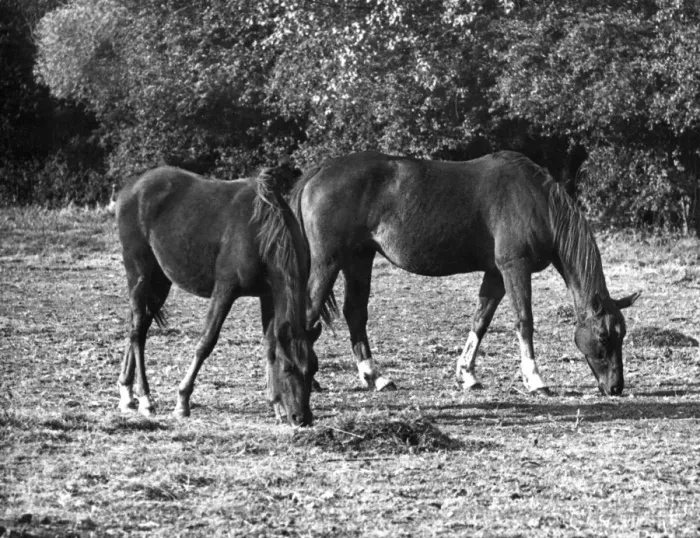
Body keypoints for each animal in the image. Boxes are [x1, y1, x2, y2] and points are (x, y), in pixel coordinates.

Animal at [115, 165, 321, 426]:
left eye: (313, 368)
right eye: (288, 368)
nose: (301, 417)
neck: (262, 232)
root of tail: (131, 187)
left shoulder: (268, 295)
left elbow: (270, 345)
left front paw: (276, 404)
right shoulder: (225, 290)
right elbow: (206, 342)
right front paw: (182, 400)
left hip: (160, 281)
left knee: (138, 325)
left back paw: (127, 392)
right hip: (139, 274)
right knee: (137, 332)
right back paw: (145, 398)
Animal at [290, 150, 640, 396]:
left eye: (621, 335)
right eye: (604, 337)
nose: (616, 388)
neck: (536, 201)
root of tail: (320, 171)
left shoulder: (496, 274)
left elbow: (481, 320)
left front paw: (467, 374)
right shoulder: (515, 268)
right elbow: (524, 322)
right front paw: (535, 380)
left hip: (359, 259)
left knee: (355, 313)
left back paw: (375, 377)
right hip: (328, 262)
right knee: (309, 310)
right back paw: (312, 379)